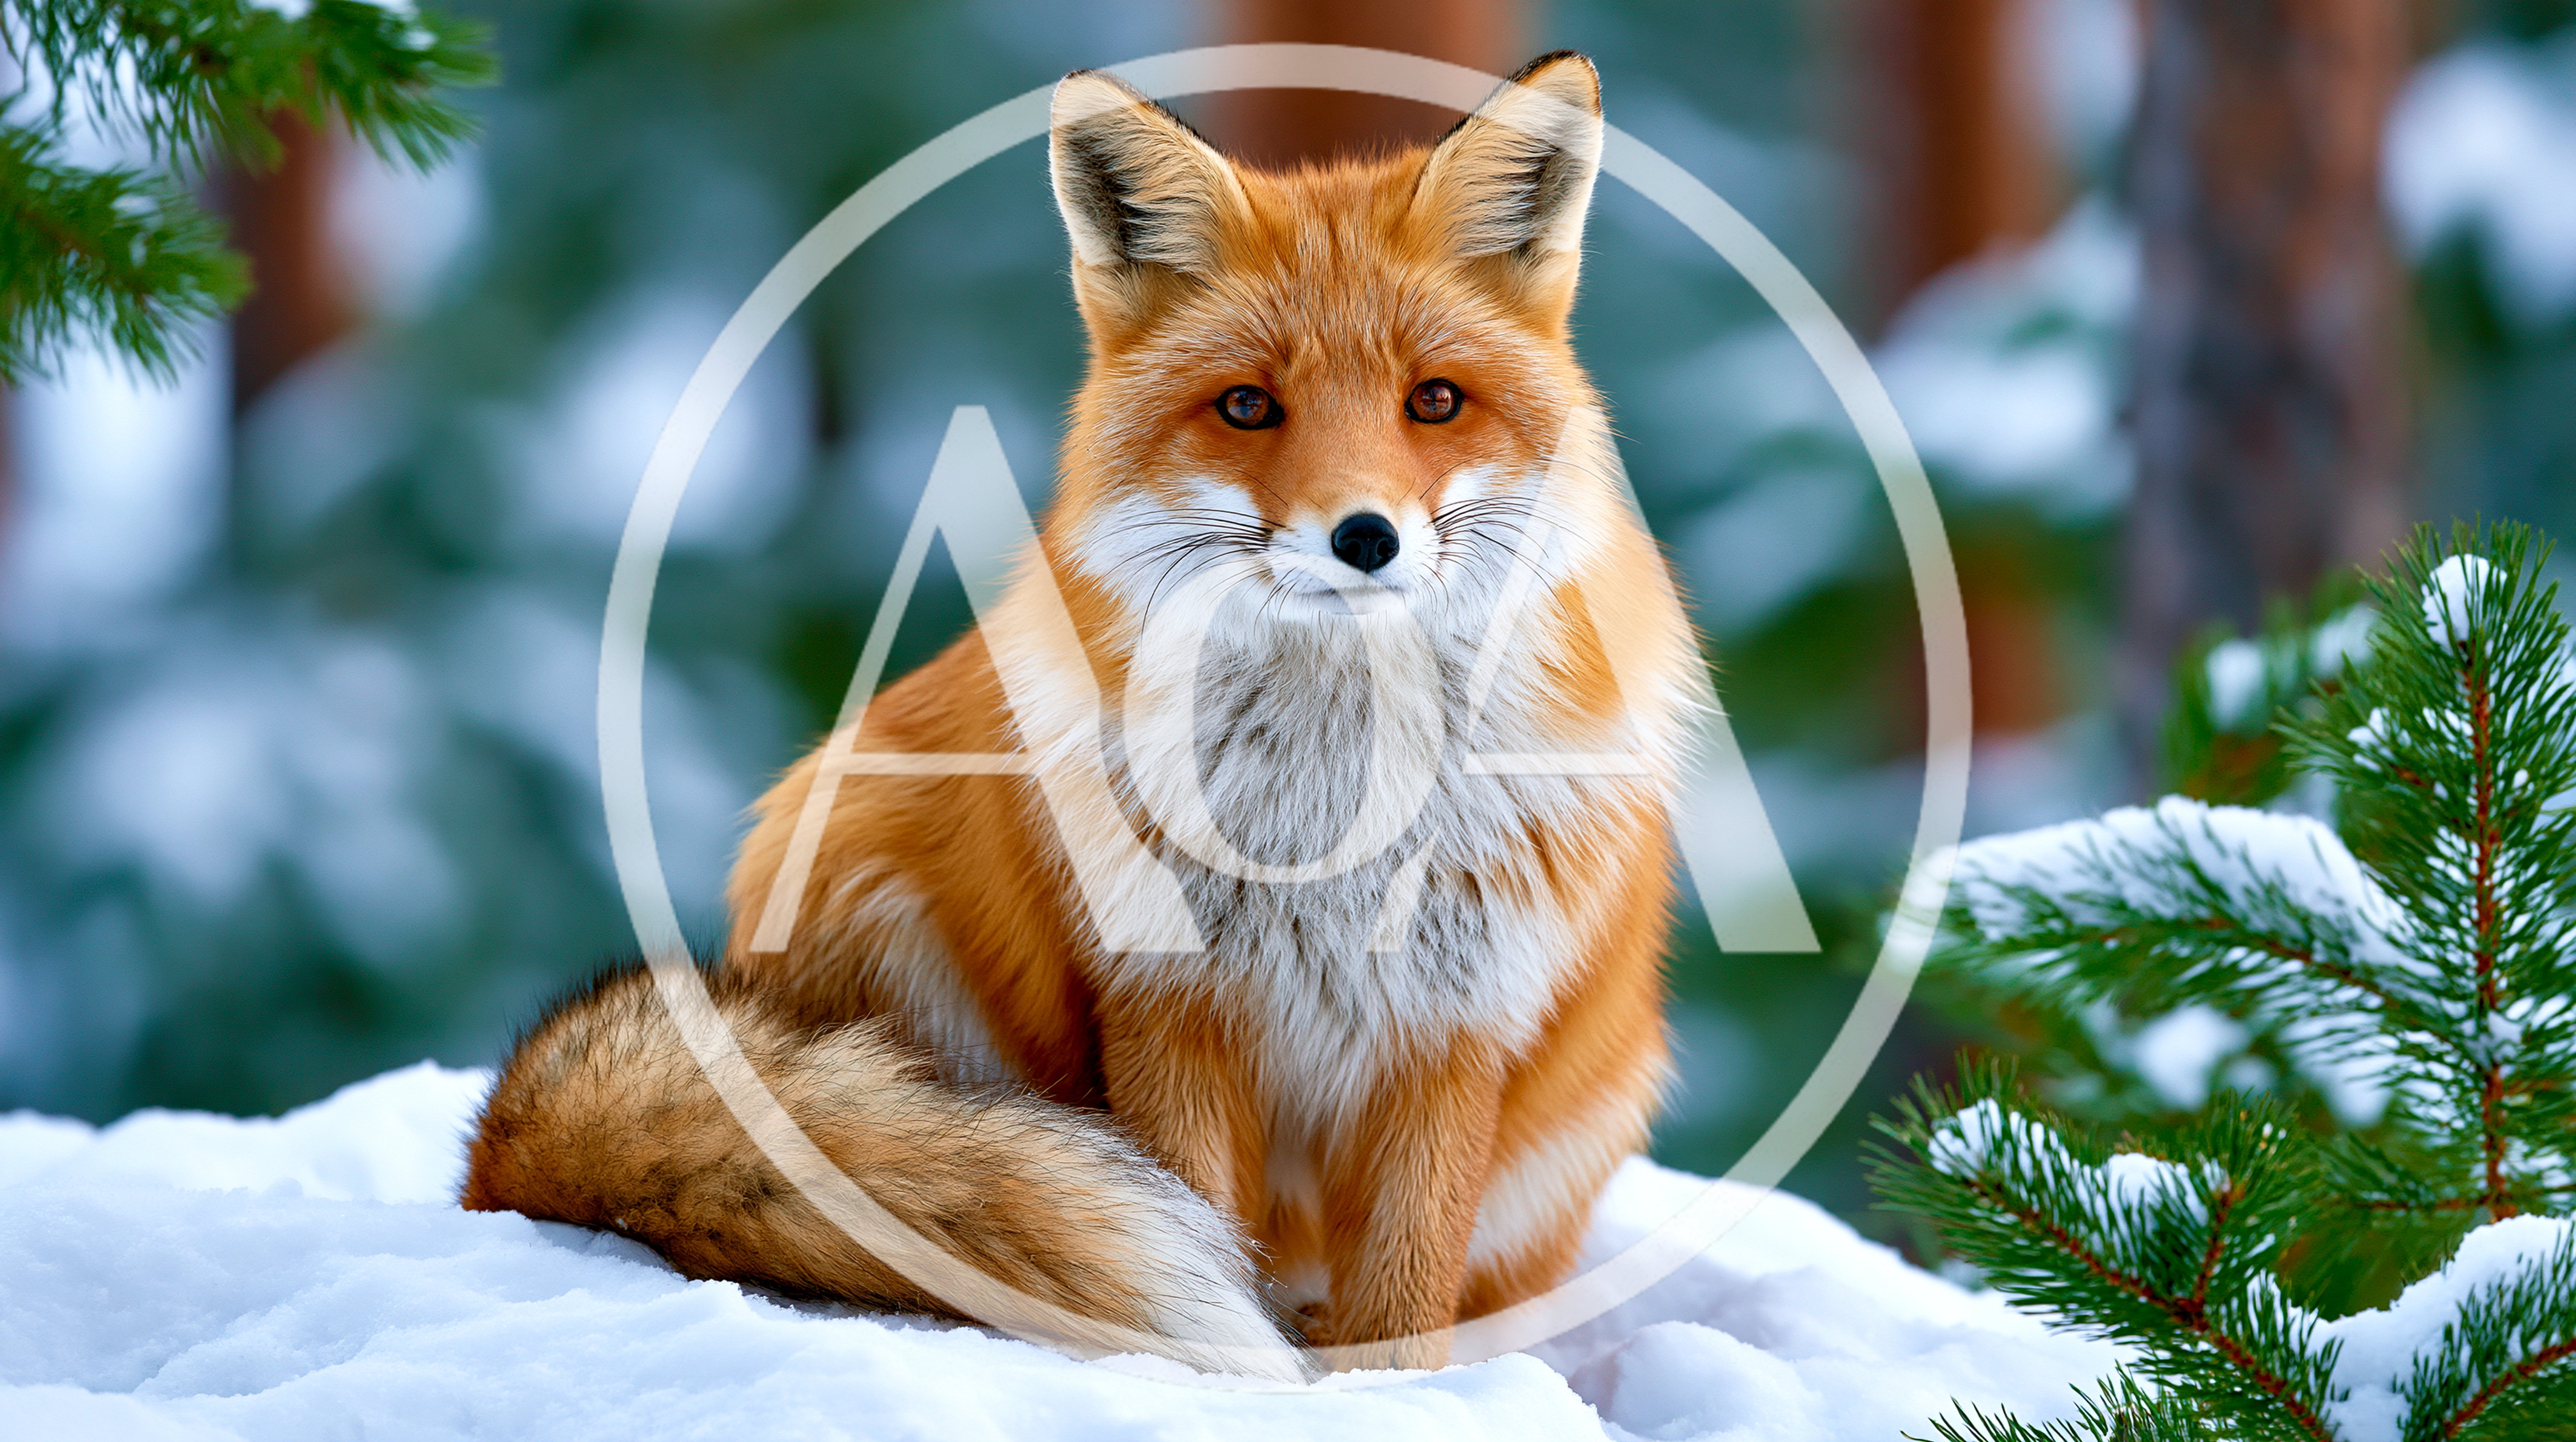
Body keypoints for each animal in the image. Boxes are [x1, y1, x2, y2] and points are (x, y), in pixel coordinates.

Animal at [461, 50, 1700, 1377]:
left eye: (1435, 401)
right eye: (1248, 407)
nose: (1364, 537)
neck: (1327, 816)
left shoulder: (1454, 1027)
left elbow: (1406, 1303)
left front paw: (1394, 1400)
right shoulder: (1168, 1003)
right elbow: (1196, 1216)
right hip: (862, 872)